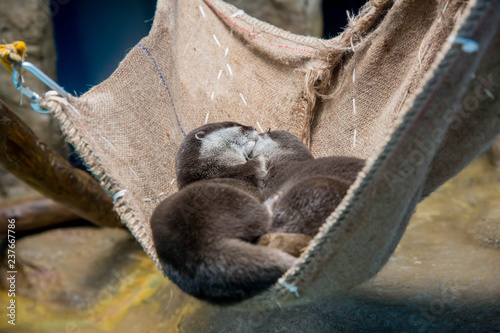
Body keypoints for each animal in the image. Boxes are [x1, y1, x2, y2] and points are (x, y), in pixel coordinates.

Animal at [150, 122, 294, 304]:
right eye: (235, 125)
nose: (253, 127)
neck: (211, 169)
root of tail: (197, 252)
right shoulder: (239, 171)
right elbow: (256, 165)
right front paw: (264, 158)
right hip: (230, 199)